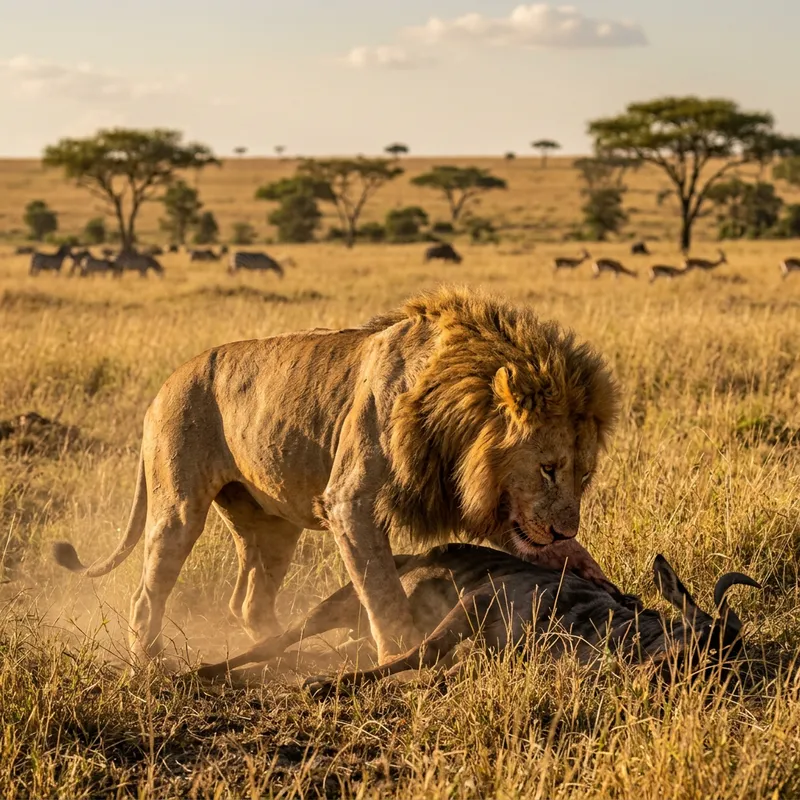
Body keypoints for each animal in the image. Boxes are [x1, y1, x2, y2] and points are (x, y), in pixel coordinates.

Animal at [52, 286, 620, 665]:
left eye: (584, 475)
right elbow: (382, 590)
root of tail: (164, 386)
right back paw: (150, 663)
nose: (565, 530)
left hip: (273, 526)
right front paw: (398, 653)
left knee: (249, 601)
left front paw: (579, 562)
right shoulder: (351, 501)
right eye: (548, 469)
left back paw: (281, 654)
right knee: (147, 591)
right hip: (178, 506)